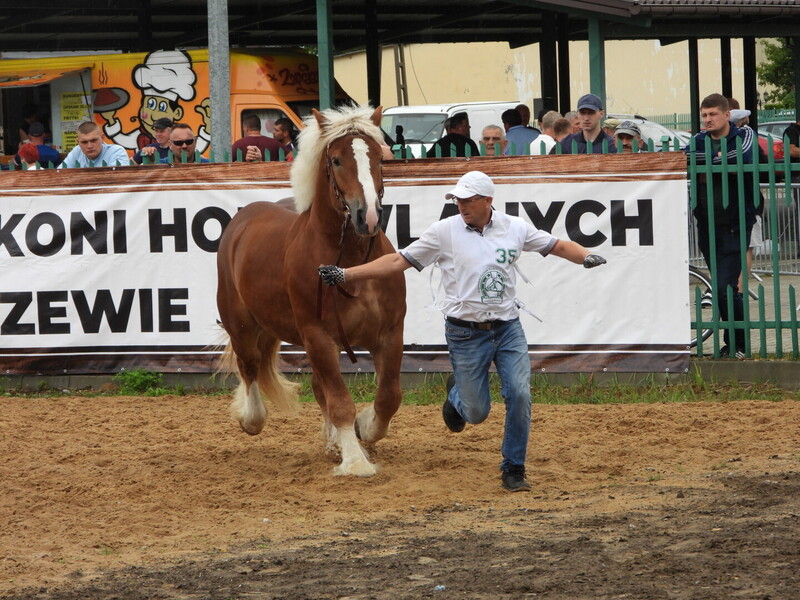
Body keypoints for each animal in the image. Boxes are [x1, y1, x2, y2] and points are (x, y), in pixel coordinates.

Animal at [216, 104, 406, 478]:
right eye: (336, 160)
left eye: (380, 157)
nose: (368, 216)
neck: (352, 263)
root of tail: (243, 220)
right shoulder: (319, 336)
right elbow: (341, 401)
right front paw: (355, 461)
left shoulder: (390, 333)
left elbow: (388, 396)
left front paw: (363, 430)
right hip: (243, 327)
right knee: (250, 368)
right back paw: (250, 417)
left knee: (319, 388)